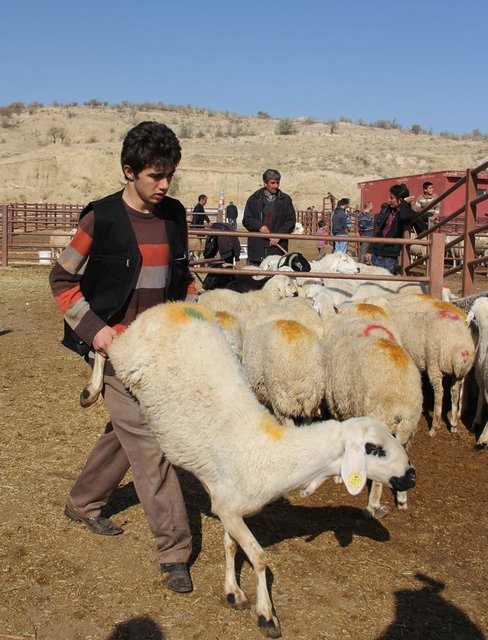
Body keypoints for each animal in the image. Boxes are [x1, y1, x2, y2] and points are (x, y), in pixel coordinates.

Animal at [81, 302, 416, 640]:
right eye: (374, 448)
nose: (411, 475)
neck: (273, 454)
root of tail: (171, 306)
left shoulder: (229, 508)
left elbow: (230, 546)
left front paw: (233, 592)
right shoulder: (228, 508)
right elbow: (259, 557)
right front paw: (266, 614)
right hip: (127, 355)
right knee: (106, 346)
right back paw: (90, 390)